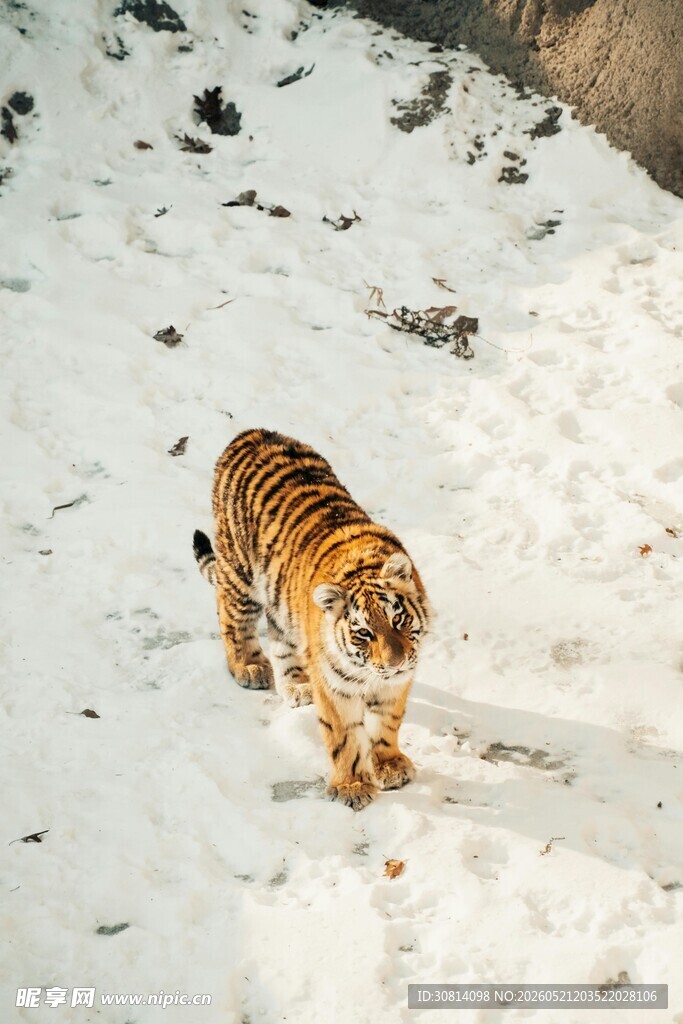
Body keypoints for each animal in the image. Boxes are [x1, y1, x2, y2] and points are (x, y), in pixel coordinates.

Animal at [193, 428, 430, 810]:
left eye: (397, 620)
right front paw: (352, 786)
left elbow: (387, 723)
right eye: (364, 633)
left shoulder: (396, 683)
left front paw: (390, 765)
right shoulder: (336, 686)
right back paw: (249, 667)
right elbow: (344, 737)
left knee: (280, 638)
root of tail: (248, 433)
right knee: (232, 619)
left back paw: (297, 685)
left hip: (279, 598)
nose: (394, 663)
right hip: (238, 573)